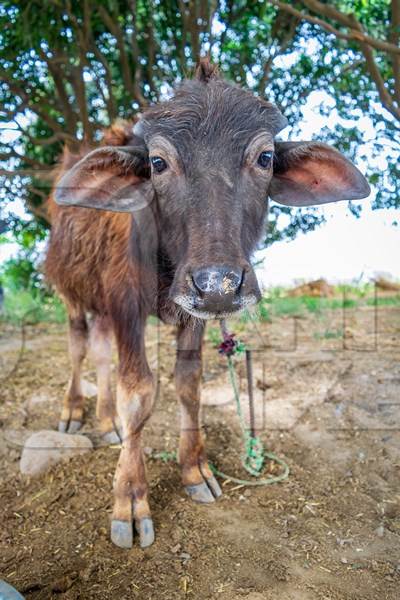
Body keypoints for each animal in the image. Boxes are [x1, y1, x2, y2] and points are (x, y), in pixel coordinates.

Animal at [46, 59, 368, 548]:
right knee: (79, 347)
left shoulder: (191, 314)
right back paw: (73, 412)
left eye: (265, 158)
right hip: (72, 293)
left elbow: (188, 384)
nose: (219, 284)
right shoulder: (125, 304)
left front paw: (194, 469)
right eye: (158, 162)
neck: (168, 260)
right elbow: (138, 392)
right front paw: (130, 499)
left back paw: (105, 424)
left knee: (100, 355)